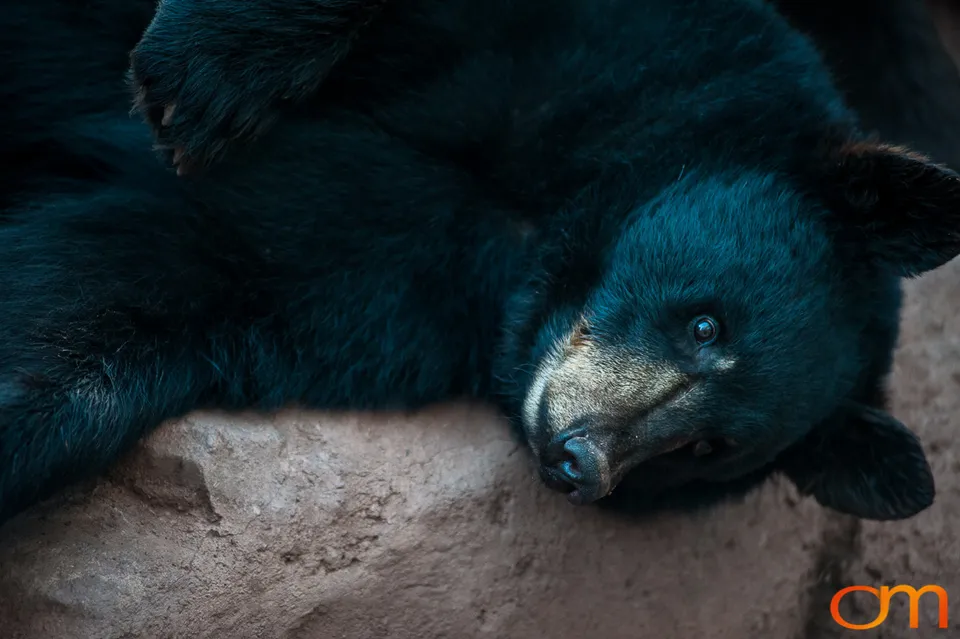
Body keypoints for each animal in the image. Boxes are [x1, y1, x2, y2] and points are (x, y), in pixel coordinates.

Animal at [1, 0, 959, 528]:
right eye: (704, 322)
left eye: (705, 448)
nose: (578, 460)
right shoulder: (609, 41)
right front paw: (201, 79)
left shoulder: (396, 282)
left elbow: (135, 287)